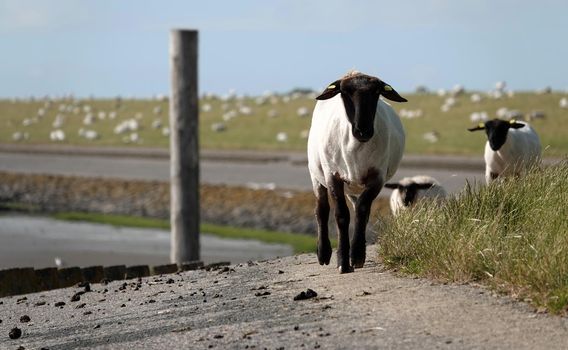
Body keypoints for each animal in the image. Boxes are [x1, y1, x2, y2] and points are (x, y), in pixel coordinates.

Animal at [308, 71, 406, 274]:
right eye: (344, 92)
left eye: (377, 92)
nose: (363, 130)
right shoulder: (333, 176)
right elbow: (341, 215)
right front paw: (343, 263)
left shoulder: (377, 177)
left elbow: (362, 210)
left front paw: (357, 256)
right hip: (316, 176)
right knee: (321, 210)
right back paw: (323, 254)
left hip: (355, 186)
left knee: (360, 208)